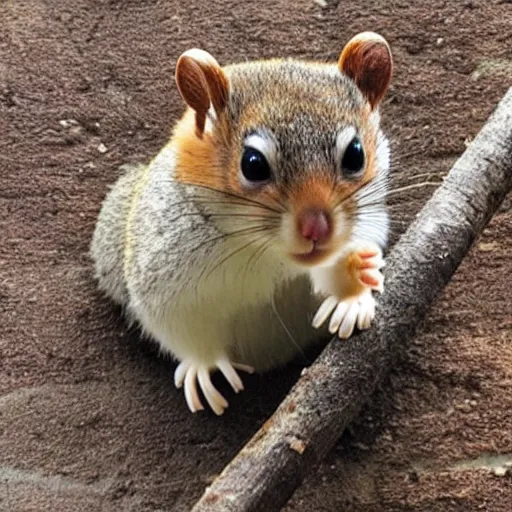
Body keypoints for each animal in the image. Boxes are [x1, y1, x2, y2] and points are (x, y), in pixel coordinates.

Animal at [91, 31, 392, 416]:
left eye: (355, 154)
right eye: (252, 163)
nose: (317, 228)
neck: (266, 254)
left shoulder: (368, 224)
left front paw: (351, 286)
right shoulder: (163, 275)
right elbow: (175, 325)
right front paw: (203, 365)